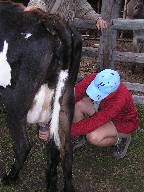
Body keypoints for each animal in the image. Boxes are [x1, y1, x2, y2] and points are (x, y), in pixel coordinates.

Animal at [0, 0, 81, 191]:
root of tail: (51, 19)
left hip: (14, 99)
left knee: (23, 145)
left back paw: (10, 177)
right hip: (67, 97)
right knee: (66, 148)